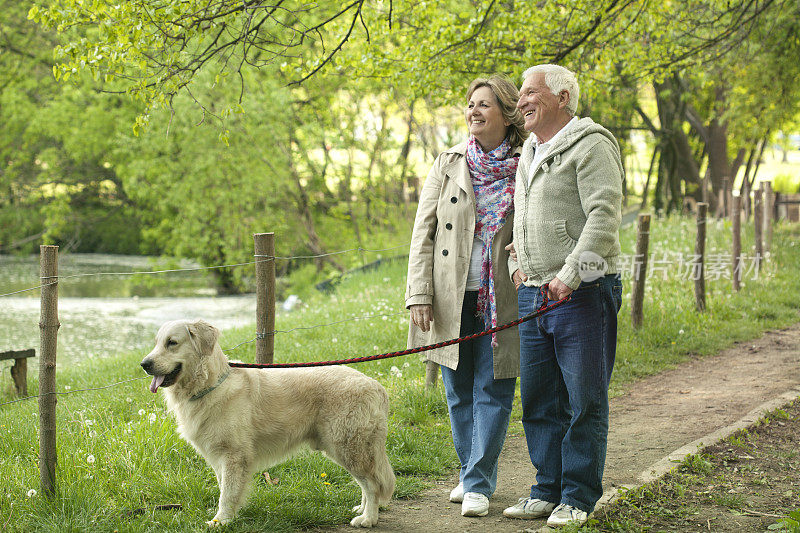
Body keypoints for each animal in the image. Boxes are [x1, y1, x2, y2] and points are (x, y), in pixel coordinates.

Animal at [143, 318, 396, 524]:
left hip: (347, 446)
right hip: (346, 449)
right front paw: (227, 517)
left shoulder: (234, 456)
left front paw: (220, 521)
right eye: (156, 343)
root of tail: (377, 387)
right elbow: (225, 487)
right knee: (366, 483)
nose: (144, 364)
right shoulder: (219, 457)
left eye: (172, 343)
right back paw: (361, 509)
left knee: (372, 484)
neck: (209, 384)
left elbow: (228, 493)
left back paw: (368, 519)